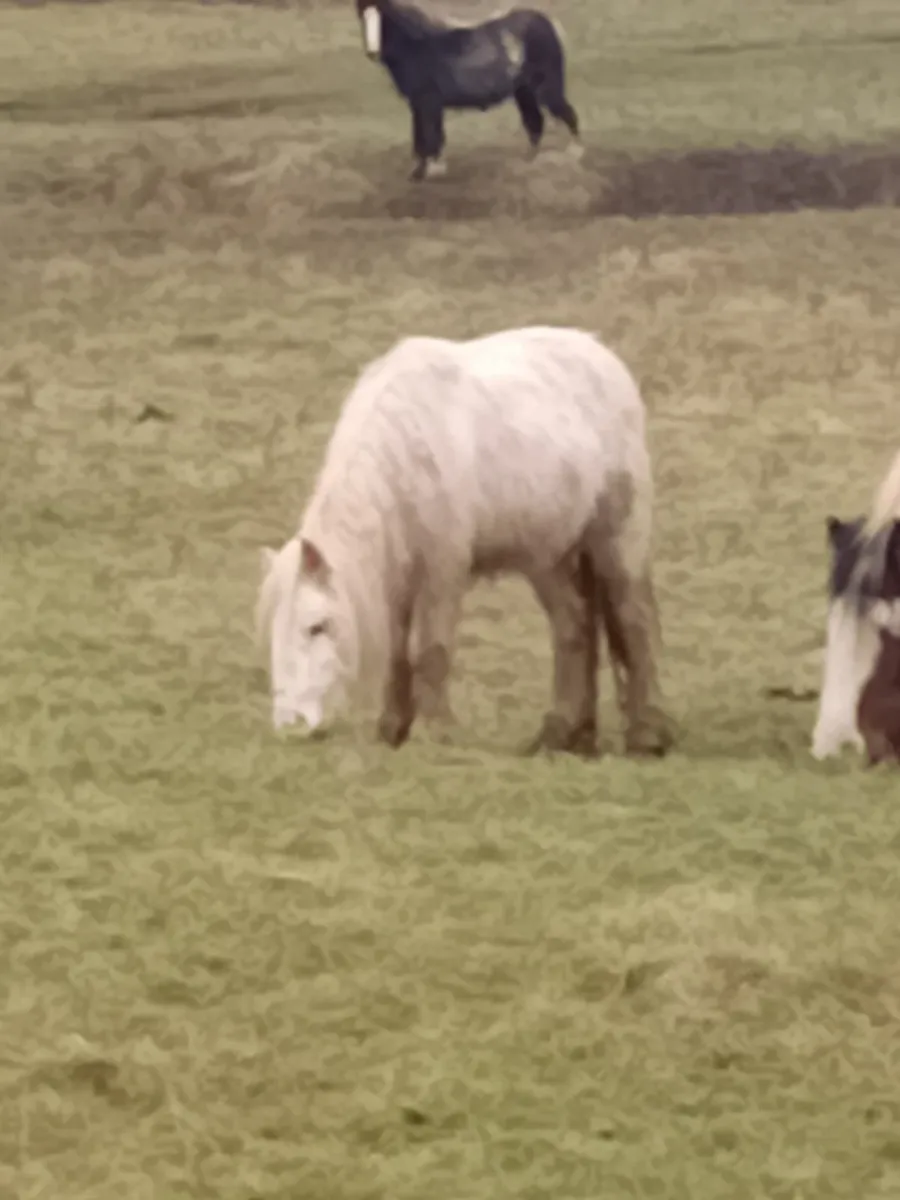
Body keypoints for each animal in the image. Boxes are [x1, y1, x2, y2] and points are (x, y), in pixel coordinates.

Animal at [256, 326, 674, 759]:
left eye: (317, 627)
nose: (292, 725)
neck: (407, 449)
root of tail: (601, 354)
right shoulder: (397, 579)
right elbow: (397, 652)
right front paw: (393, 729)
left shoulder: (442, 573)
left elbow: (431, 651)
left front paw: (434, 733)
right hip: (550, 558)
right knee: (573, 628)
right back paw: (564, 735)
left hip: (617, 541)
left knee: (632, 619)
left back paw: (647, 735)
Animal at [354, 0, 582, 180]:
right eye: (362, 16)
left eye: (382, 17)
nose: (372, 52)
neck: (419, 47)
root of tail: (546, 23)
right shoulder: (421, 104)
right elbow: (425, 137)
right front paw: (427, 169)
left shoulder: (427, 102)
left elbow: (429, 137)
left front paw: (428, 172)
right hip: (524, 92)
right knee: (535, 123)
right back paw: (529, 161)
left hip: (545, 88)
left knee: (566, 114)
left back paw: (575, 153)